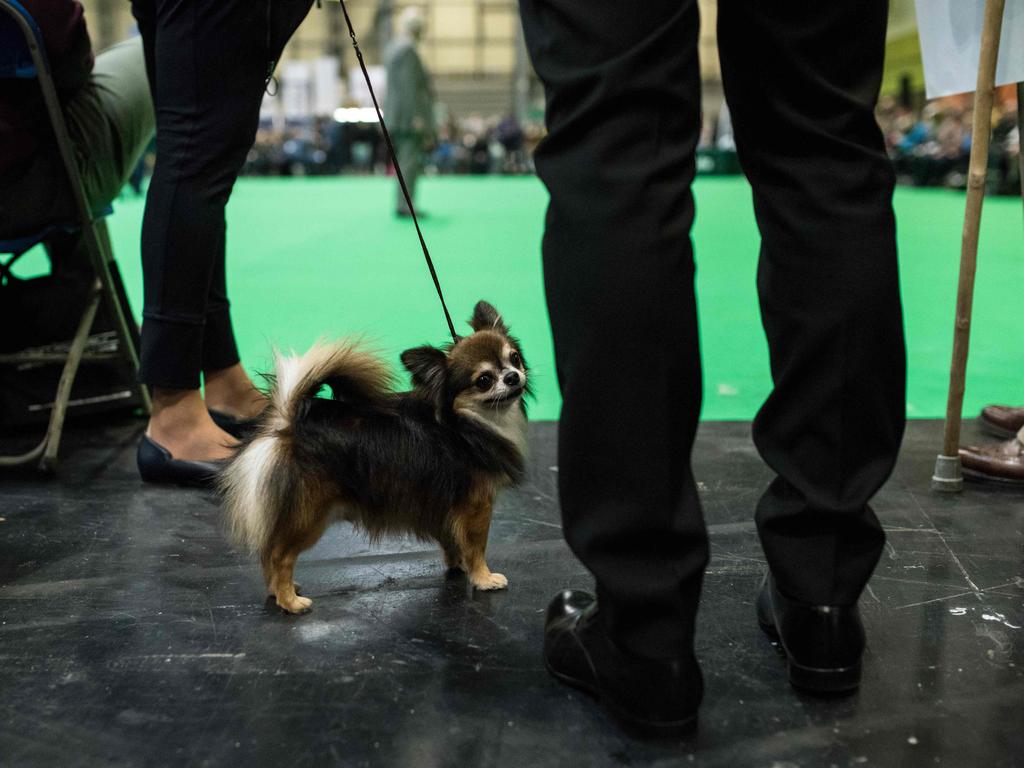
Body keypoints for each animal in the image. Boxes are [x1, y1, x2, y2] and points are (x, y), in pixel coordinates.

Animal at [222, 303, 528, 618]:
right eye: (484, 380)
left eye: (514, 357)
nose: (513, 376)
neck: (467, 422)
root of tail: (287, 421)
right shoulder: (477, 507)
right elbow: (477, 547)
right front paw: (483, 578)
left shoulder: (445, 505)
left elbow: (452, 540)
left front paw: (459, 566)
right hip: (308, 516)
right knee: (279, 556)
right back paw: (290, 601)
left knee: (268, 553)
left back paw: (279, 592)